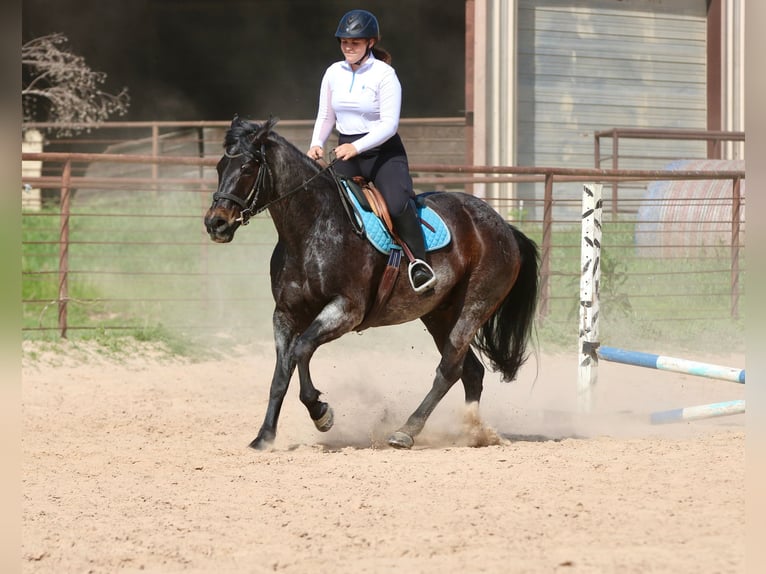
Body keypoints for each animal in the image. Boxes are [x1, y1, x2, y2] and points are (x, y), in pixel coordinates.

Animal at [204, 116, 539, 450]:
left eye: (248, 167)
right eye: (220, 167)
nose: (215, 223)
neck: (312, 229)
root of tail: (503, 225)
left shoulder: (346, 310)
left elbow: (301, 350)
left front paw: (321, 413)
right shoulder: (285, 315)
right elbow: (280, 375)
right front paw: (264, 437)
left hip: (473, 308)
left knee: (449, 369)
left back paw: (407, 431)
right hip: (439, 314)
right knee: (470, 372)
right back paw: (470, 432)